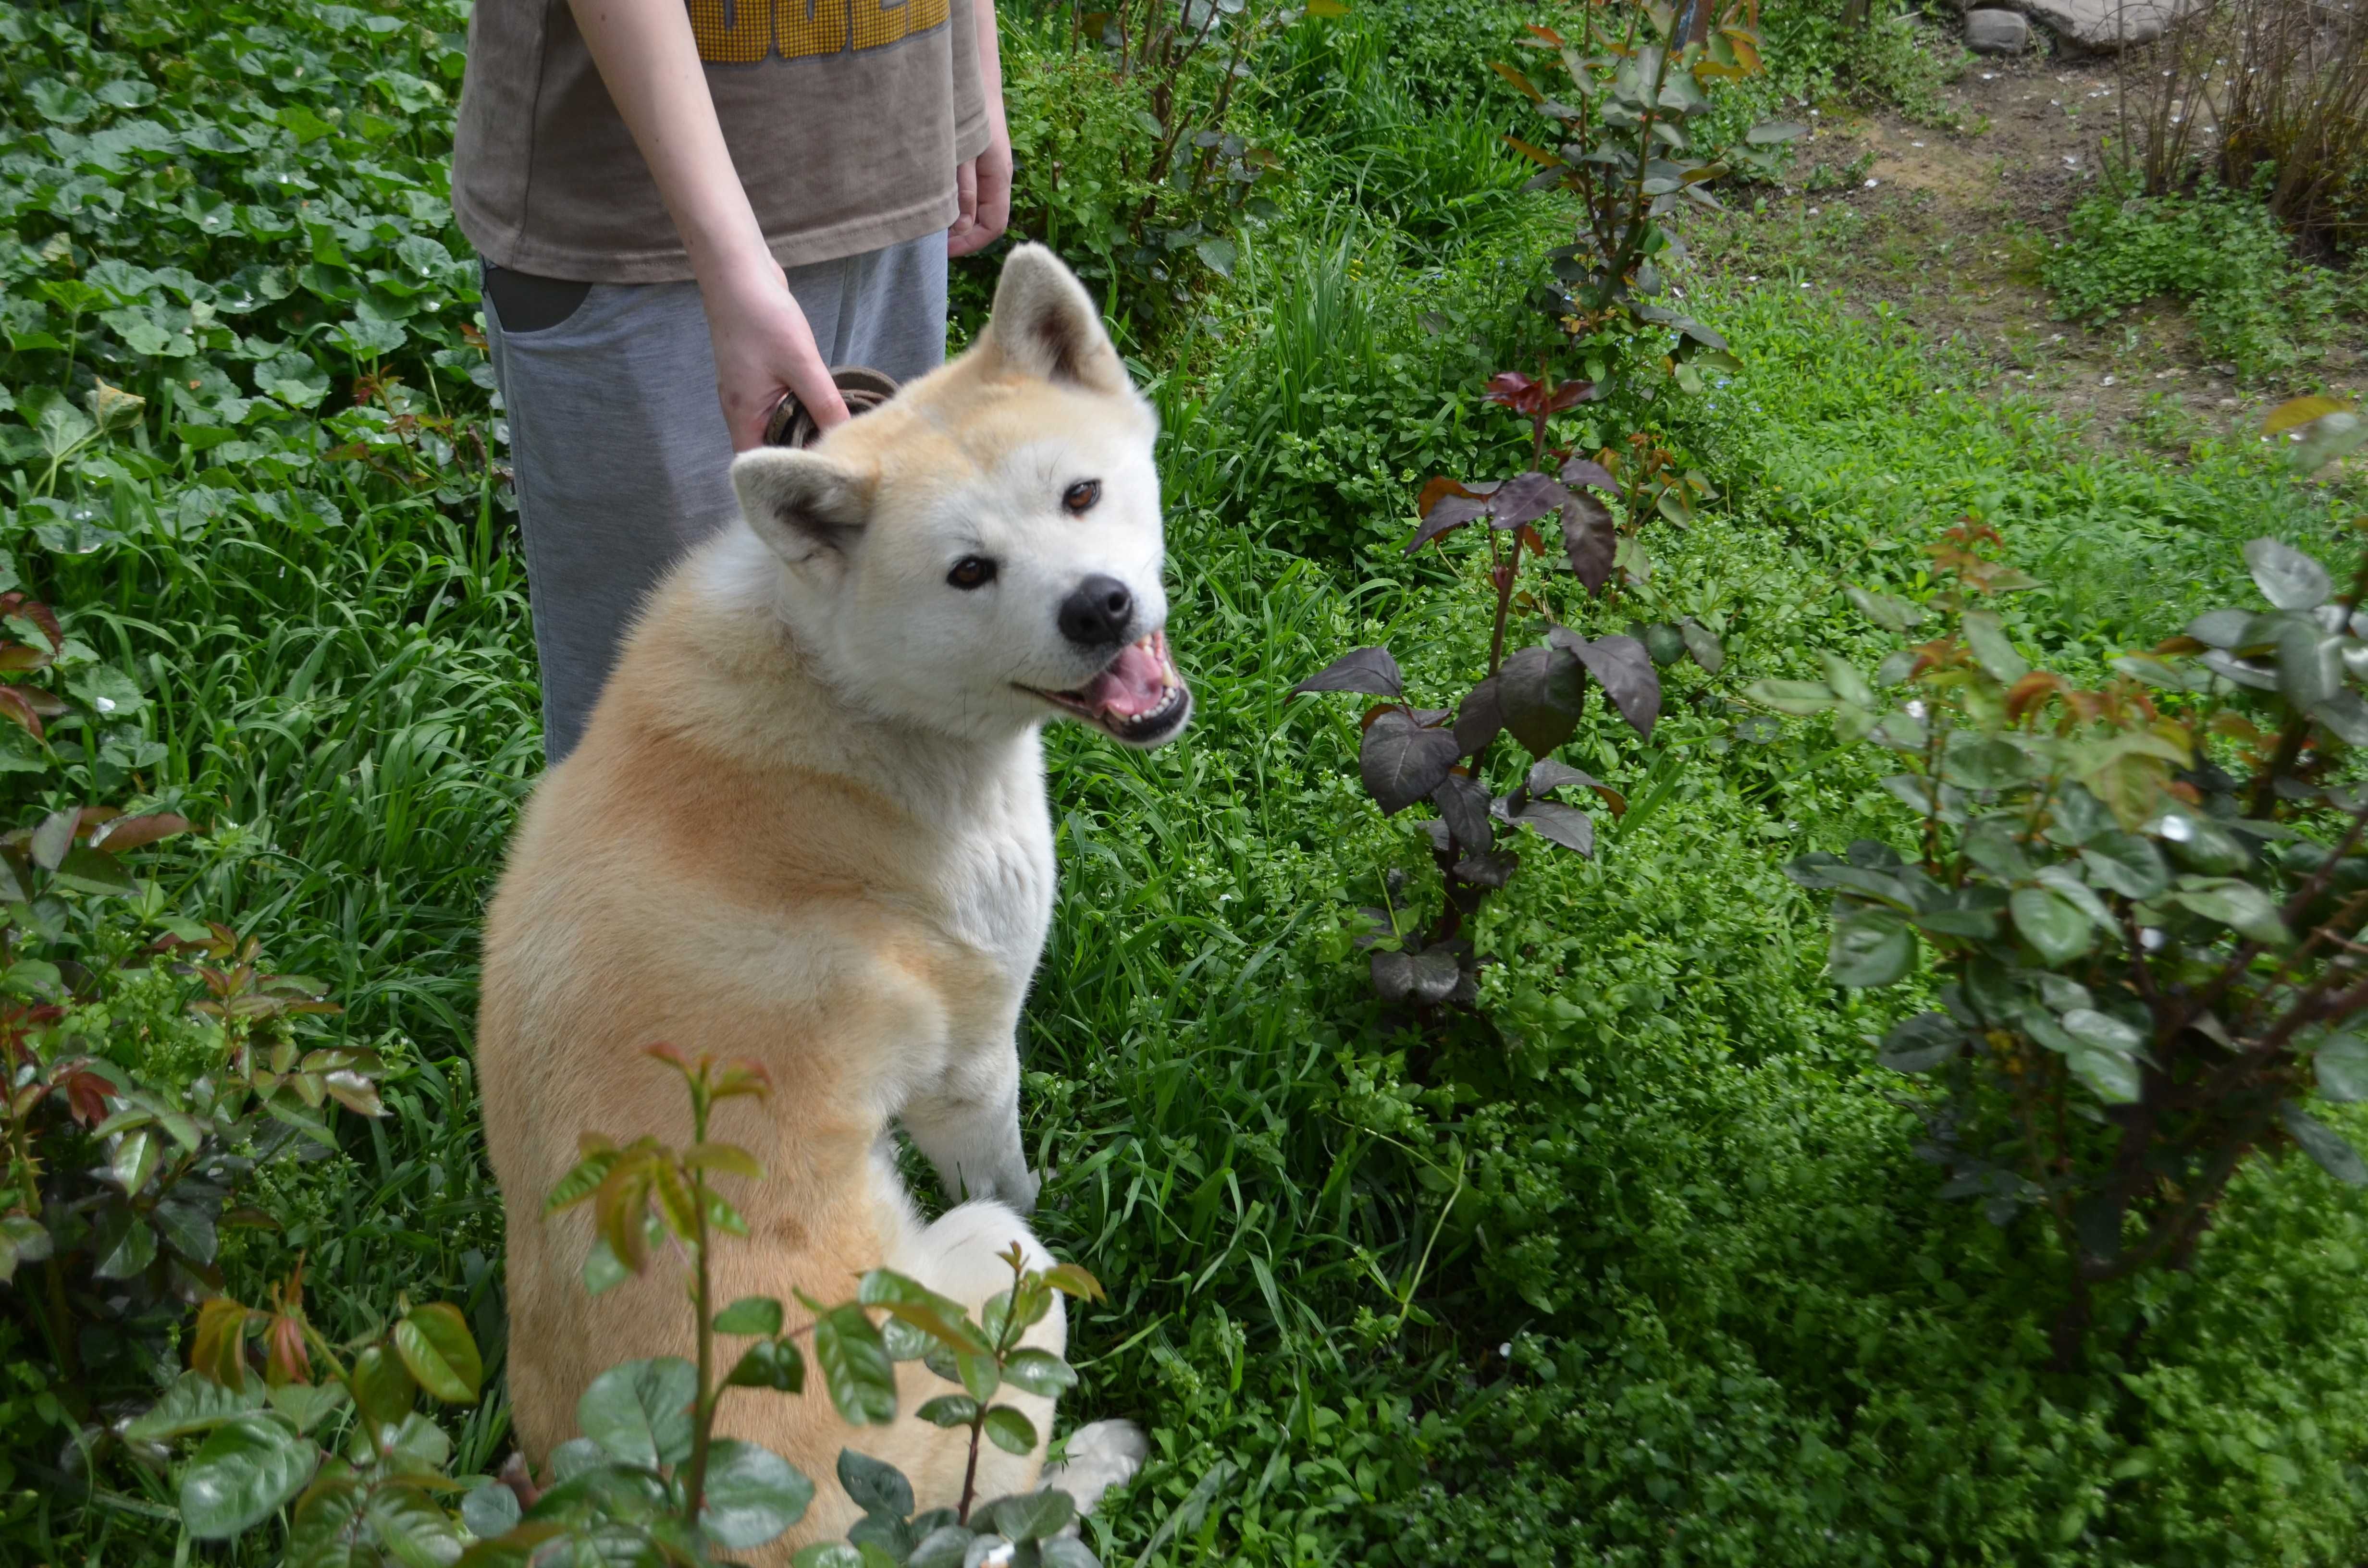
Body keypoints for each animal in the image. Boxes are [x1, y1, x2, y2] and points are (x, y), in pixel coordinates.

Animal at [481, 246, 1184, 1544]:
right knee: (994, 1514)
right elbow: (1018, 1173)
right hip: (986, 1282)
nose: (1100, 606)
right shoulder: (975, 1070)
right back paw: (1103, 1460)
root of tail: (669, 1514)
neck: (840, 685)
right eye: (969, 573)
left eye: (1080, 496)